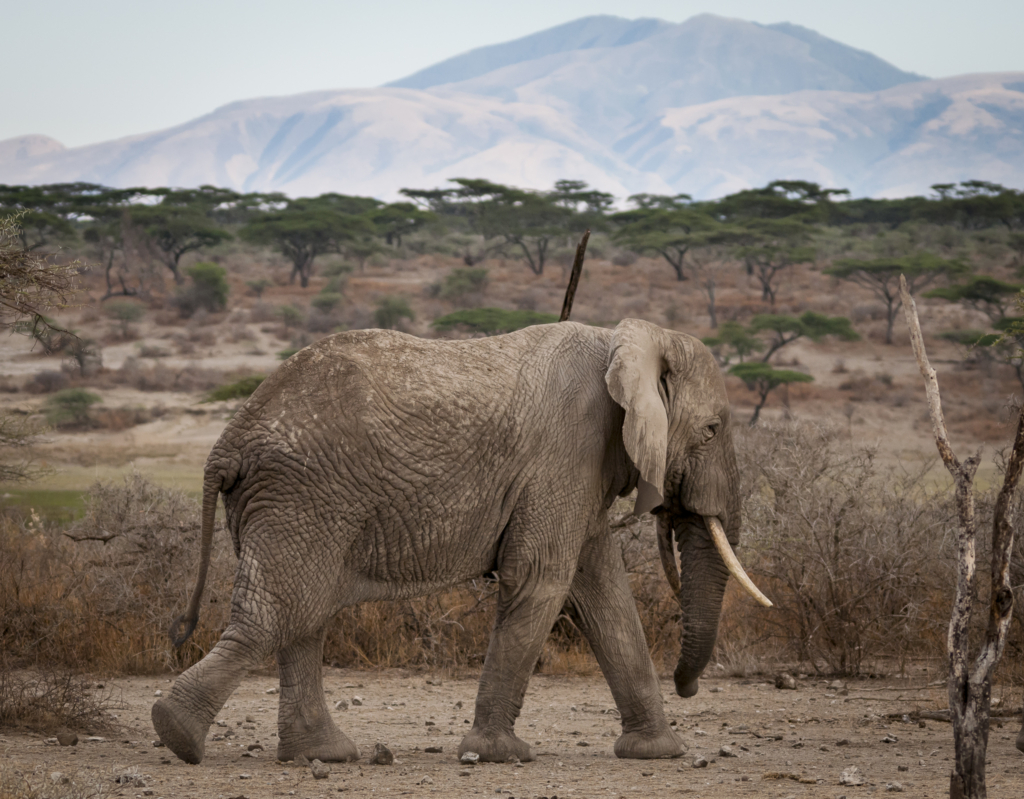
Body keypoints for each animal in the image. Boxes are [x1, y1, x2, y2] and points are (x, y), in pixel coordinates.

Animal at [151, 315, 770, 766]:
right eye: (712, 430)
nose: (689, 687)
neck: (626, 340)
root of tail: (227, 442)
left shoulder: (582, 469)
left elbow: (603, 591)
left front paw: (658, 753)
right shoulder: (567, 452)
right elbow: (543, 579)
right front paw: (498, 755)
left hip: (292, 504)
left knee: (304, 615)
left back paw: (324, 755)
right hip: (303, 497)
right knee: (281, 612)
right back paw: (178, 735)